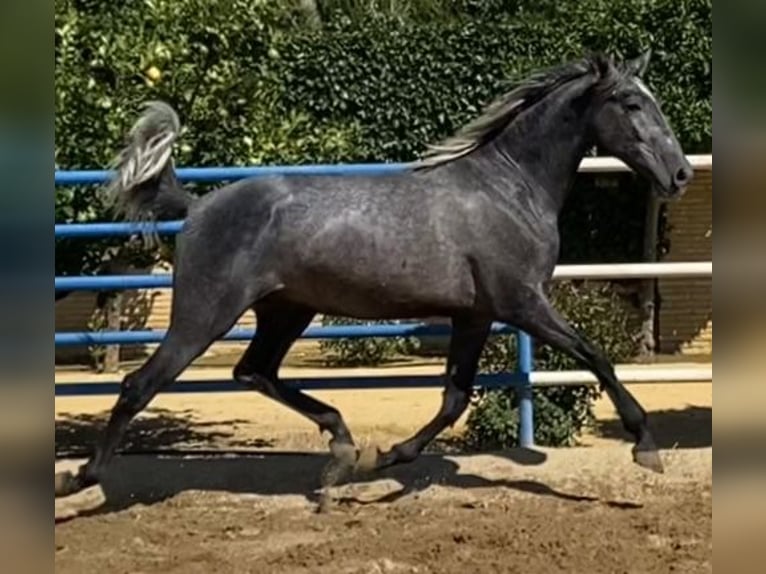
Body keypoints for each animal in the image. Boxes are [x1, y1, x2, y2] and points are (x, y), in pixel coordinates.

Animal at [55, 51, 696, 504]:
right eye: (631, 104)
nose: (681, 173)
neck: (508, 188)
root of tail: (197, 208)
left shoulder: (476, 314)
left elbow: (455, 398)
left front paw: (387, 458)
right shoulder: (522, 303)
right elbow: (596, 355)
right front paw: (646, 447)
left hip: (286, 311)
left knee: (254, 371)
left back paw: (341, 451)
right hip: (204, 314)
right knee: (140, 384)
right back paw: (82, 478)